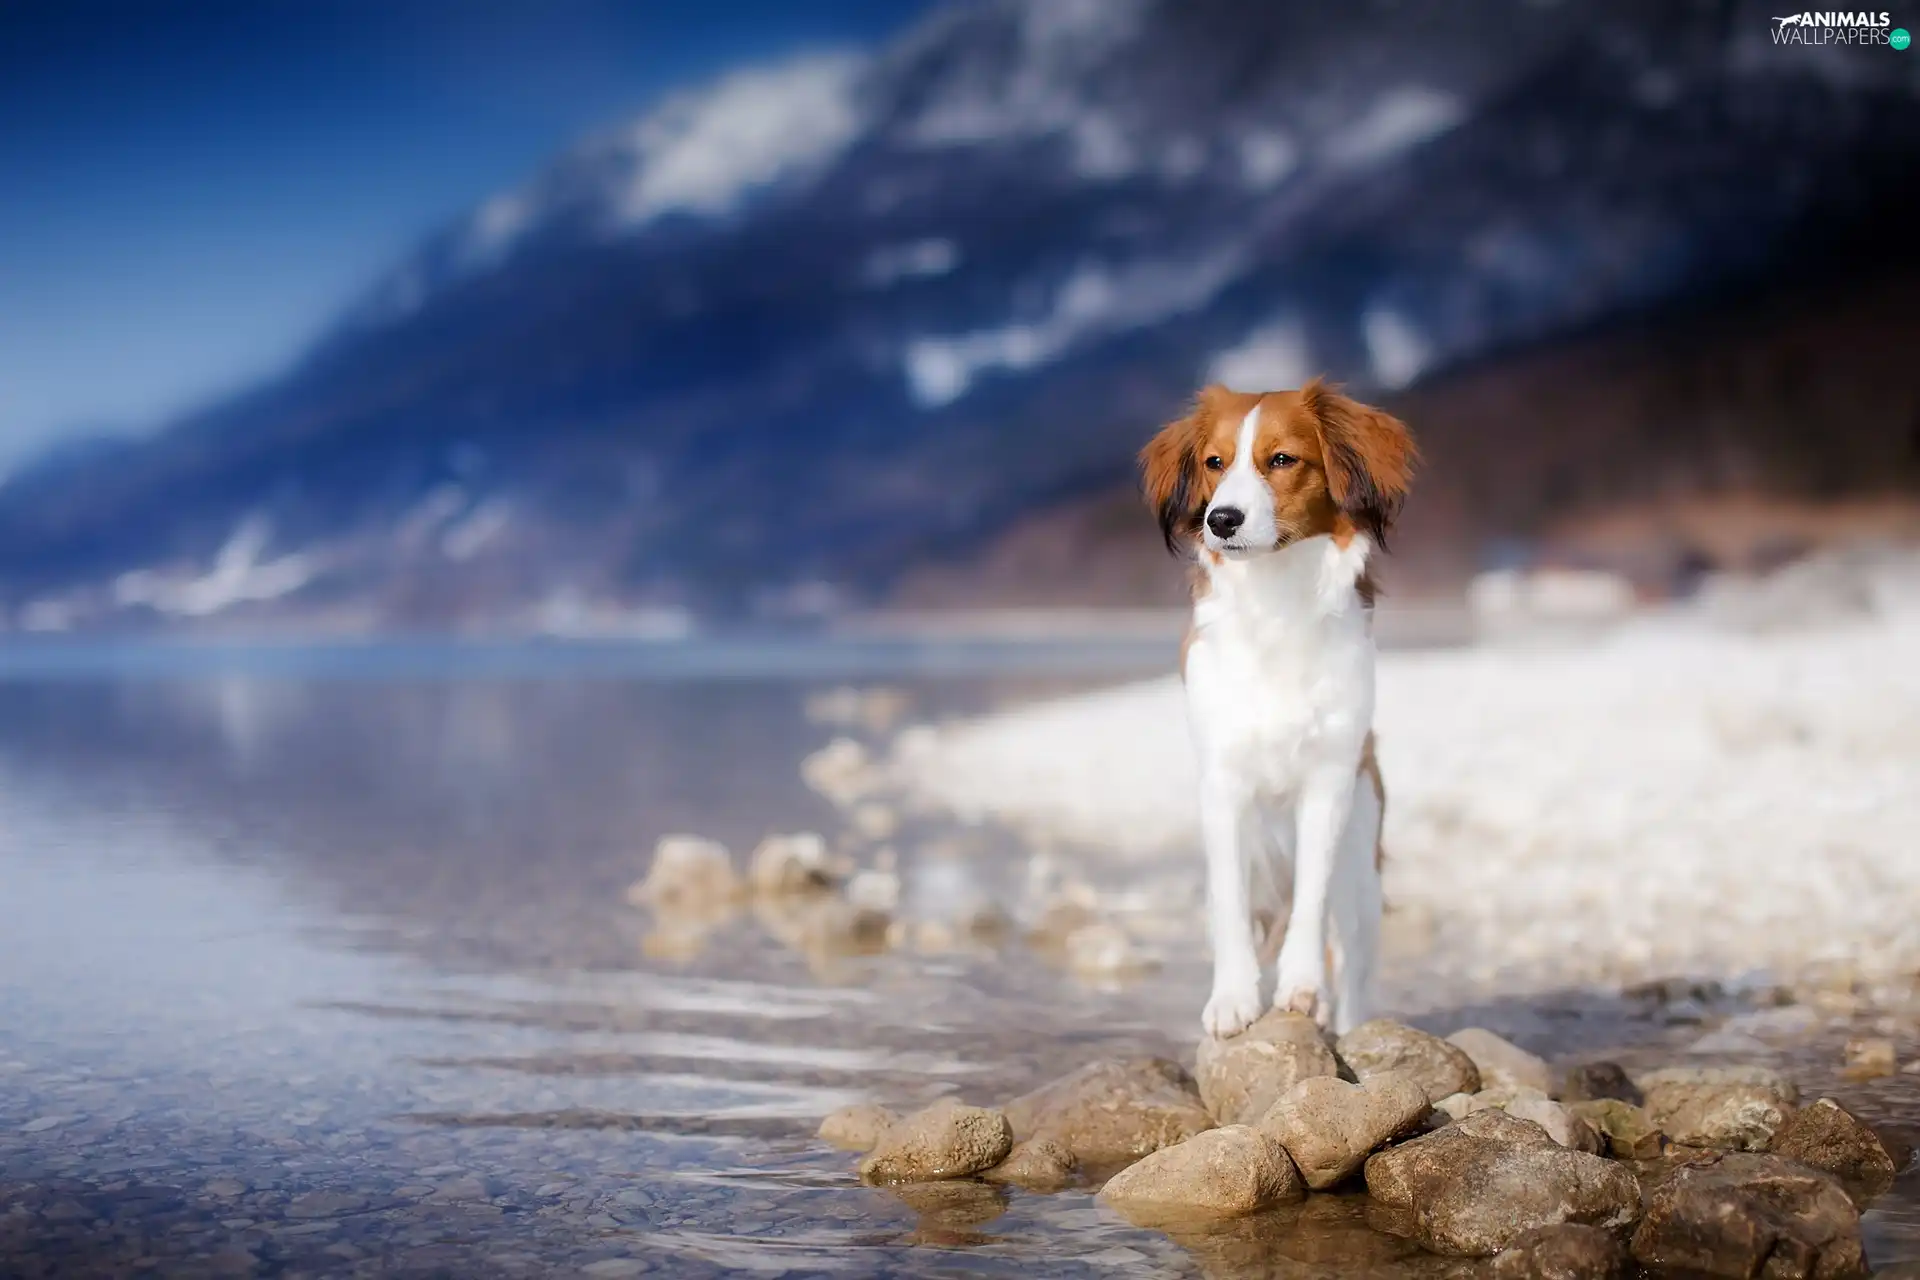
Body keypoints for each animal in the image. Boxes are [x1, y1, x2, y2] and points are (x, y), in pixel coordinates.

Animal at [1136, 379, 1413, 1043]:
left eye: (1282, 459)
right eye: (1214, 463)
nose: (1221, 519)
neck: (1277, 600)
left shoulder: (1329, 783)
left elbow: (1311, 899)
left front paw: (1300, 988)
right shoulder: (1224, 785)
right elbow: (1233, 904)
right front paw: (1234, 998)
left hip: (1363, 875)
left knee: (1353, 965)